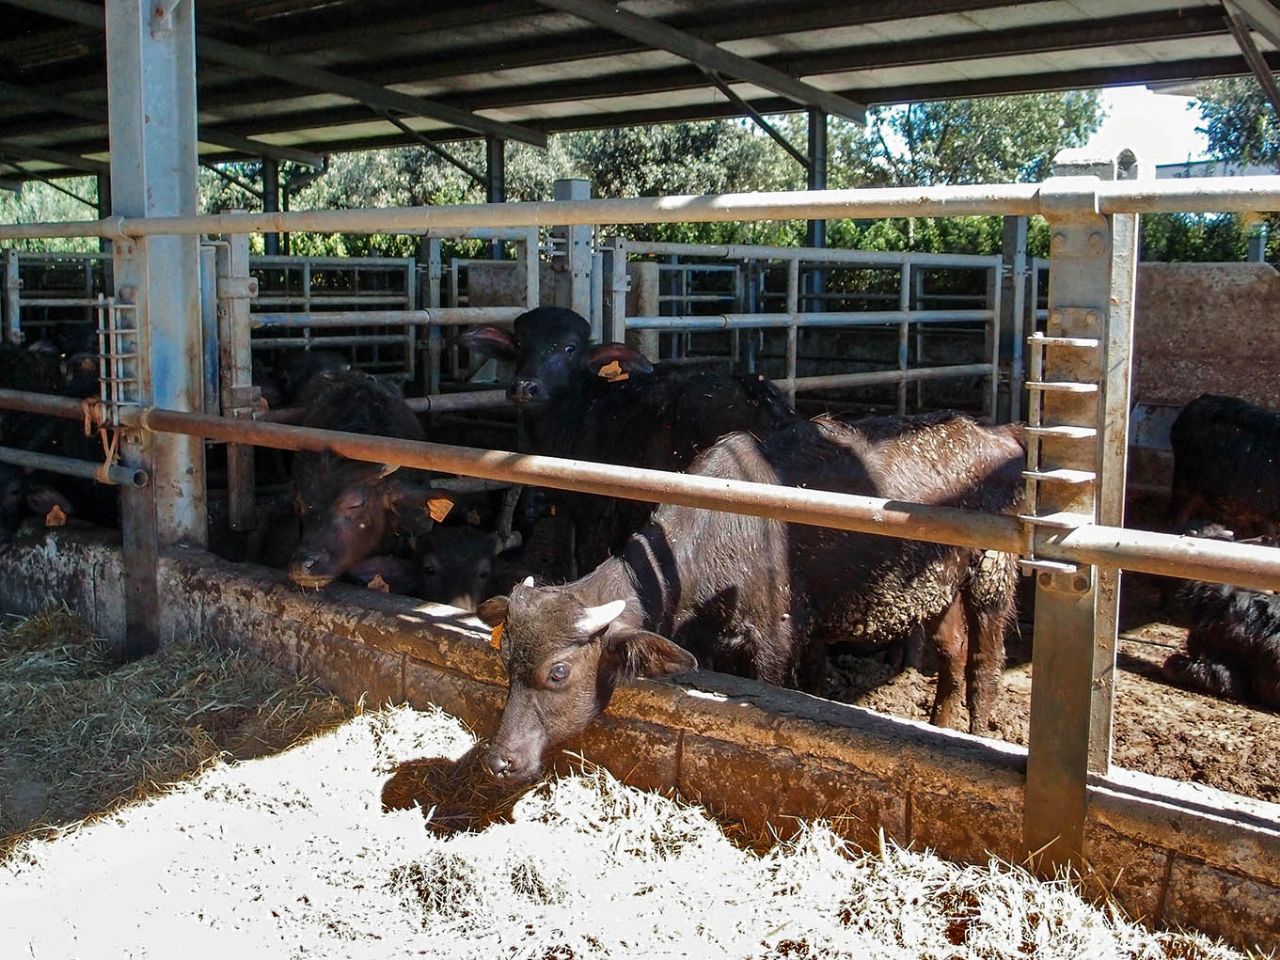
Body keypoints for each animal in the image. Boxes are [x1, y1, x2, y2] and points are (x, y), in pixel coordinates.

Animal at [476, 412, 1024, 783]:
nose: (500, 761)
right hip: (940, 584)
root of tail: (996, 434)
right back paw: (939, 724)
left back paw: (976, 731)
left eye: (559, 672)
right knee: (951, 652)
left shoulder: (777, 644)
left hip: (992, 575)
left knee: (985, 663)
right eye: (505, 661)